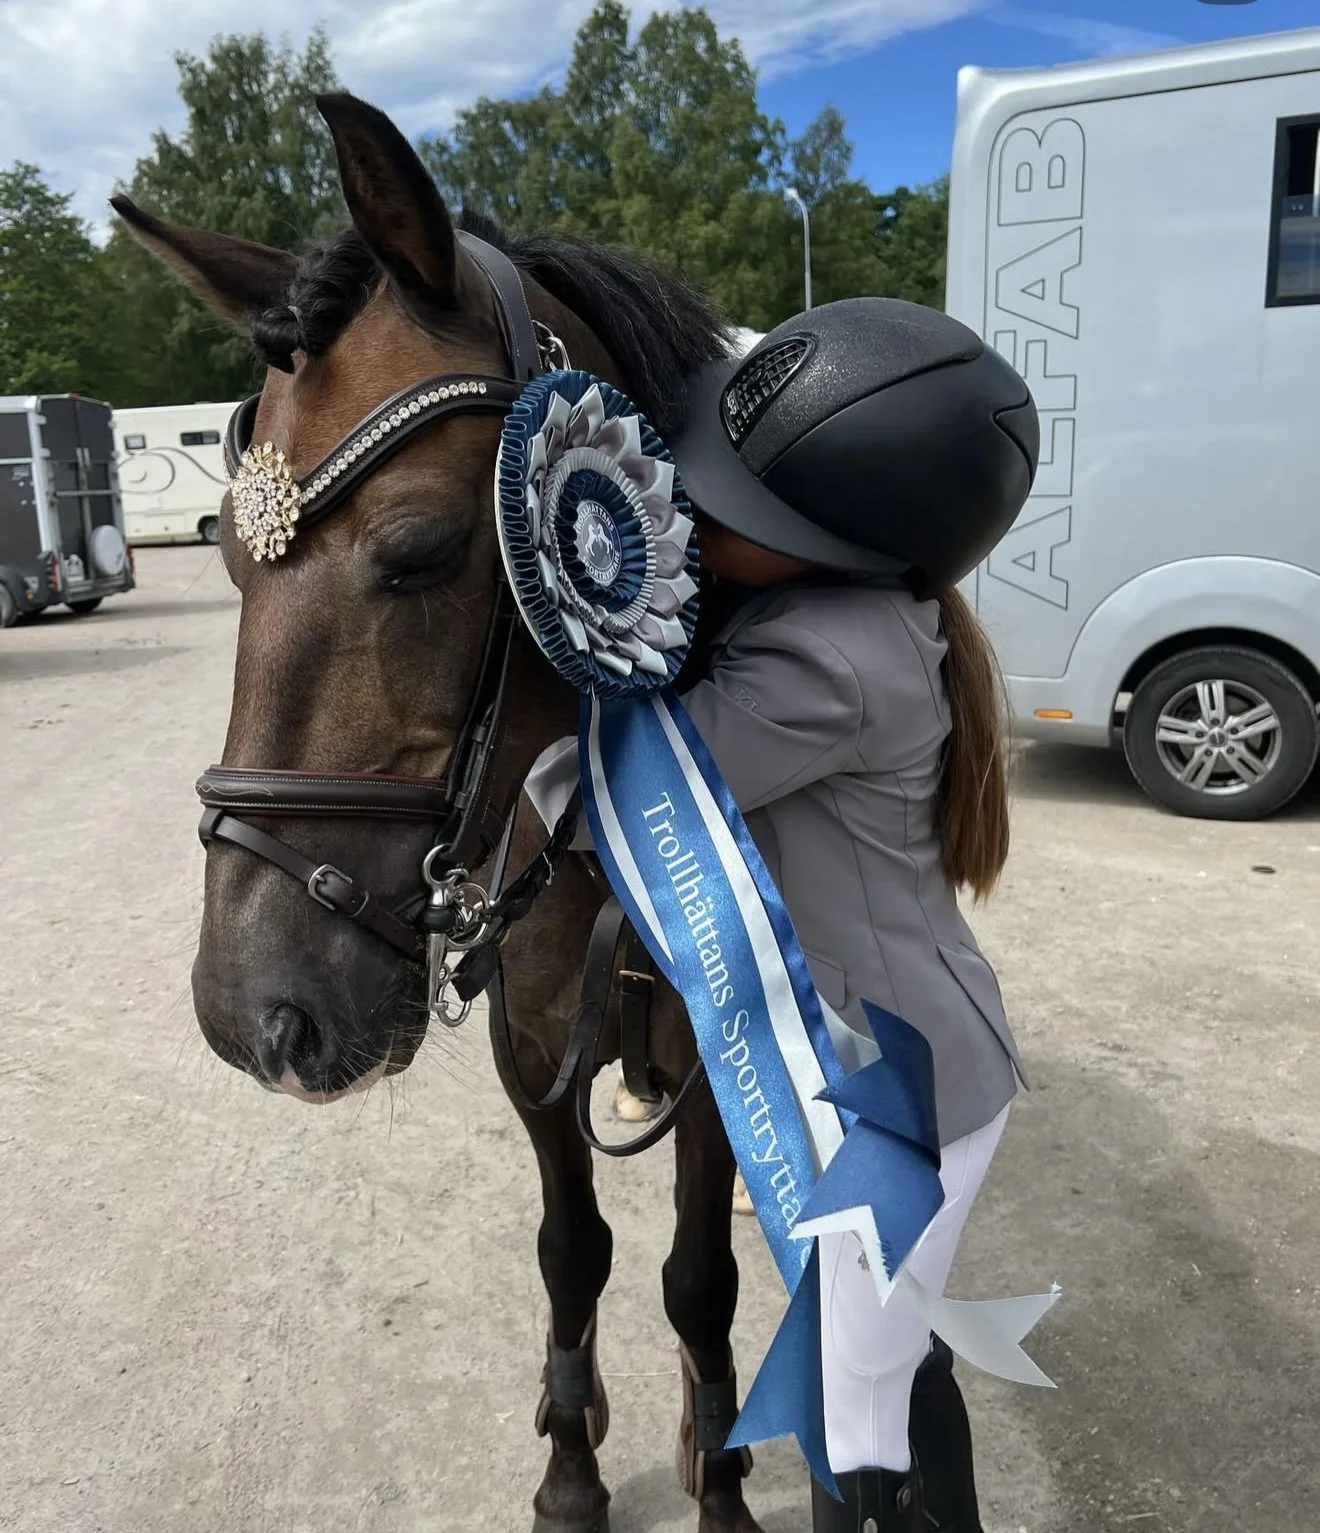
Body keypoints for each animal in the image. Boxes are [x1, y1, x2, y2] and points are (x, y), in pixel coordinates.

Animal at [115, 91, 767, 1533]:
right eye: (227, 557)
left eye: (418, 550)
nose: (252, 1017)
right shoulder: (531, 1042)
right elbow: (573, 1250)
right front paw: (572, 1469)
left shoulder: (712, 1047)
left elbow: (699, 1277)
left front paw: (722, 1474)